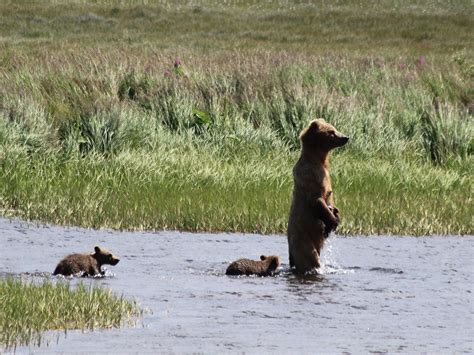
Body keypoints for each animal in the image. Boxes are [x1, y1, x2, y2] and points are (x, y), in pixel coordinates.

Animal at [286, 118, 348, 274]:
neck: (319, 161)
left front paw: (337, 215)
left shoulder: (326, 177)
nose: (345, 137)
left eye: (334, 128)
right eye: (331, 132)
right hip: (302, 239)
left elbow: (331, 202)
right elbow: (317, 200)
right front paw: (332, 222)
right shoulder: (312, 178)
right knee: (310, 257)